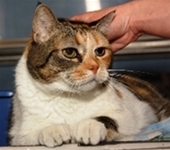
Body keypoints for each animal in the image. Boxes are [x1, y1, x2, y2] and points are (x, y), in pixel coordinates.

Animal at [8, 2, 170, 147]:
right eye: (69, 52)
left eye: (100, 51)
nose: (95, 67)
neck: (71, 97)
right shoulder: (19, 134)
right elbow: (33, 133)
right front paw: (52, 130)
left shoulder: (128, 116)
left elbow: (108, 118)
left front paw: (90, 126)